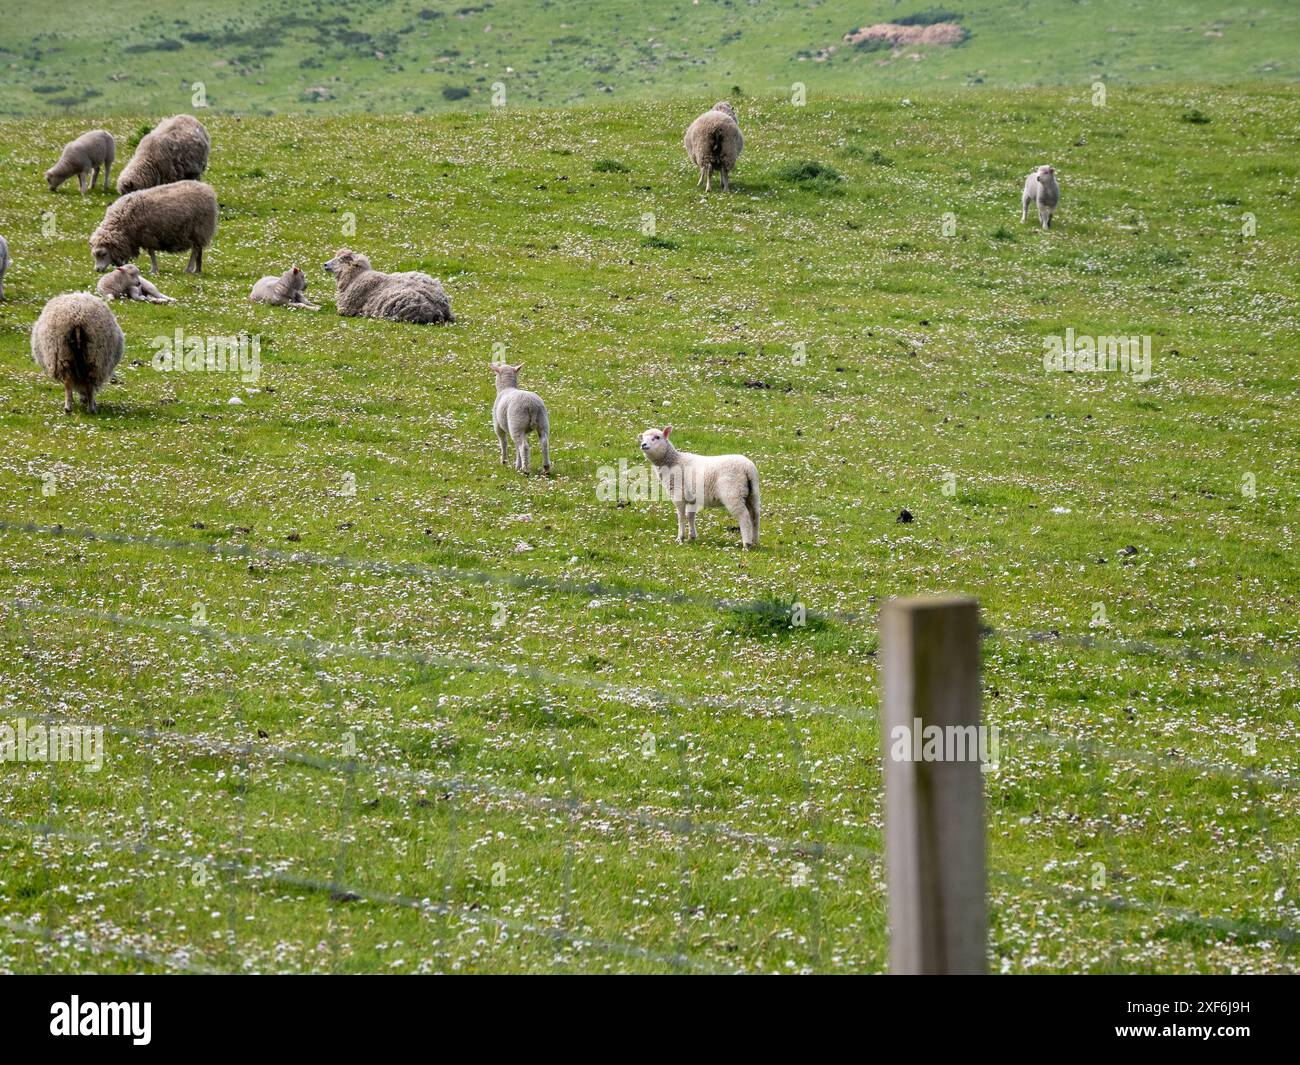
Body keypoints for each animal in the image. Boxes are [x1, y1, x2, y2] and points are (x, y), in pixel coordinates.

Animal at [89, 179, 217, 273]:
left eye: (104, 254)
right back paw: (197, 270)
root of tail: (207, 188)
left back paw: (189, 269)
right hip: (200, 232)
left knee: (195, 251)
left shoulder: (147, 235)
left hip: (199, 229)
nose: (97, 270)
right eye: (94, 255)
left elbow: (151, 253)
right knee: (199, 250)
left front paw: (153, 270)